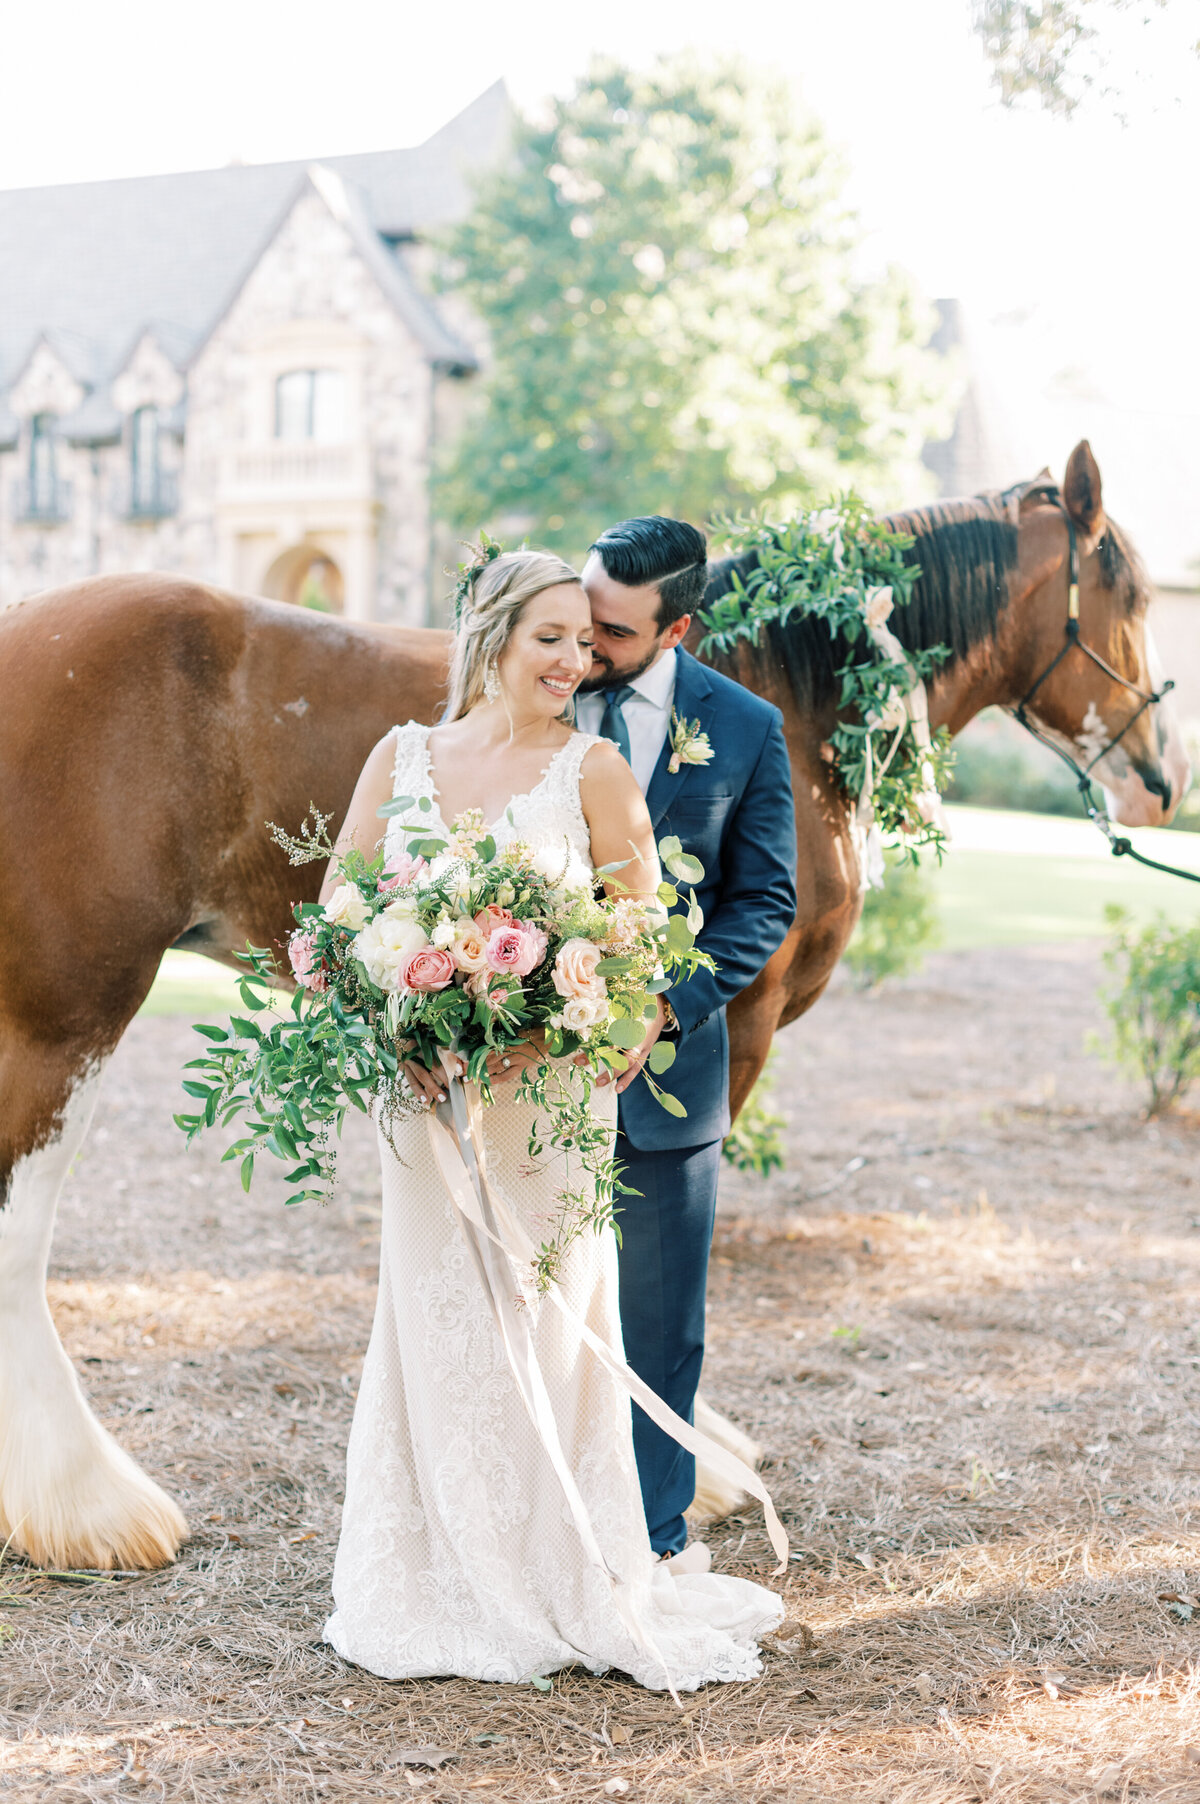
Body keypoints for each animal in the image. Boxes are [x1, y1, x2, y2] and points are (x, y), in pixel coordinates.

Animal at [0, 432, 1183, 1565]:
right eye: (1123, 586)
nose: (1162, 782)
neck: (787, 690)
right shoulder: (733, 1026)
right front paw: (688, 1464)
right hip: (71, 1011)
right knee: (21, 1226)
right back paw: (90, 1506)